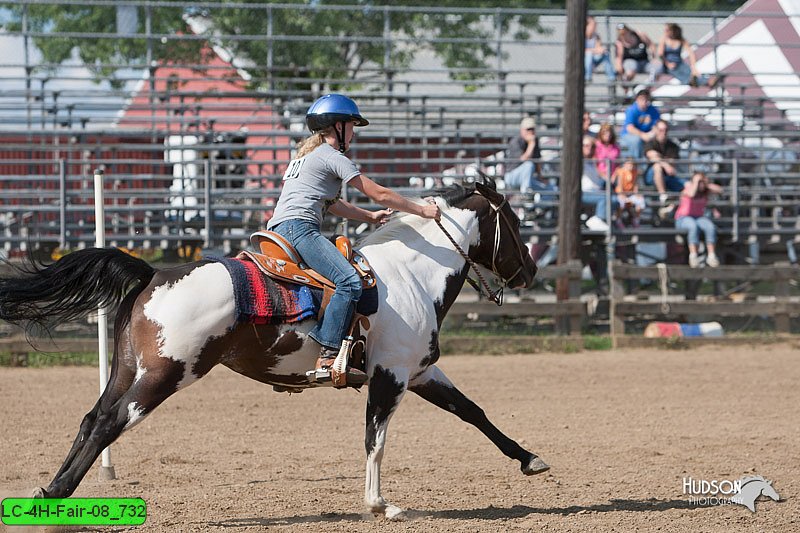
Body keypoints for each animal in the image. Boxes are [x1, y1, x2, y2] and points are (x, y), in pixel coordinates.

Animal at [0, 178, 552, 516]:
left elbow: (473, 412)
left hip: (128, 369)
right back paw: (56, 494)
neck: (407, 276)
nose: (530, 270)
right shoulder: (391, 375)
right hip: (165, 375)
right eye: (514, 222)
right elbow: (375, 440)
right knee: (109, 424)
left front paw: (530, 460)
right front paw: (380, 504)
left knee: (92, 419)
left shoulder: (417, 372)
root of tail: (154, 271)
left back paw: (51, 493)